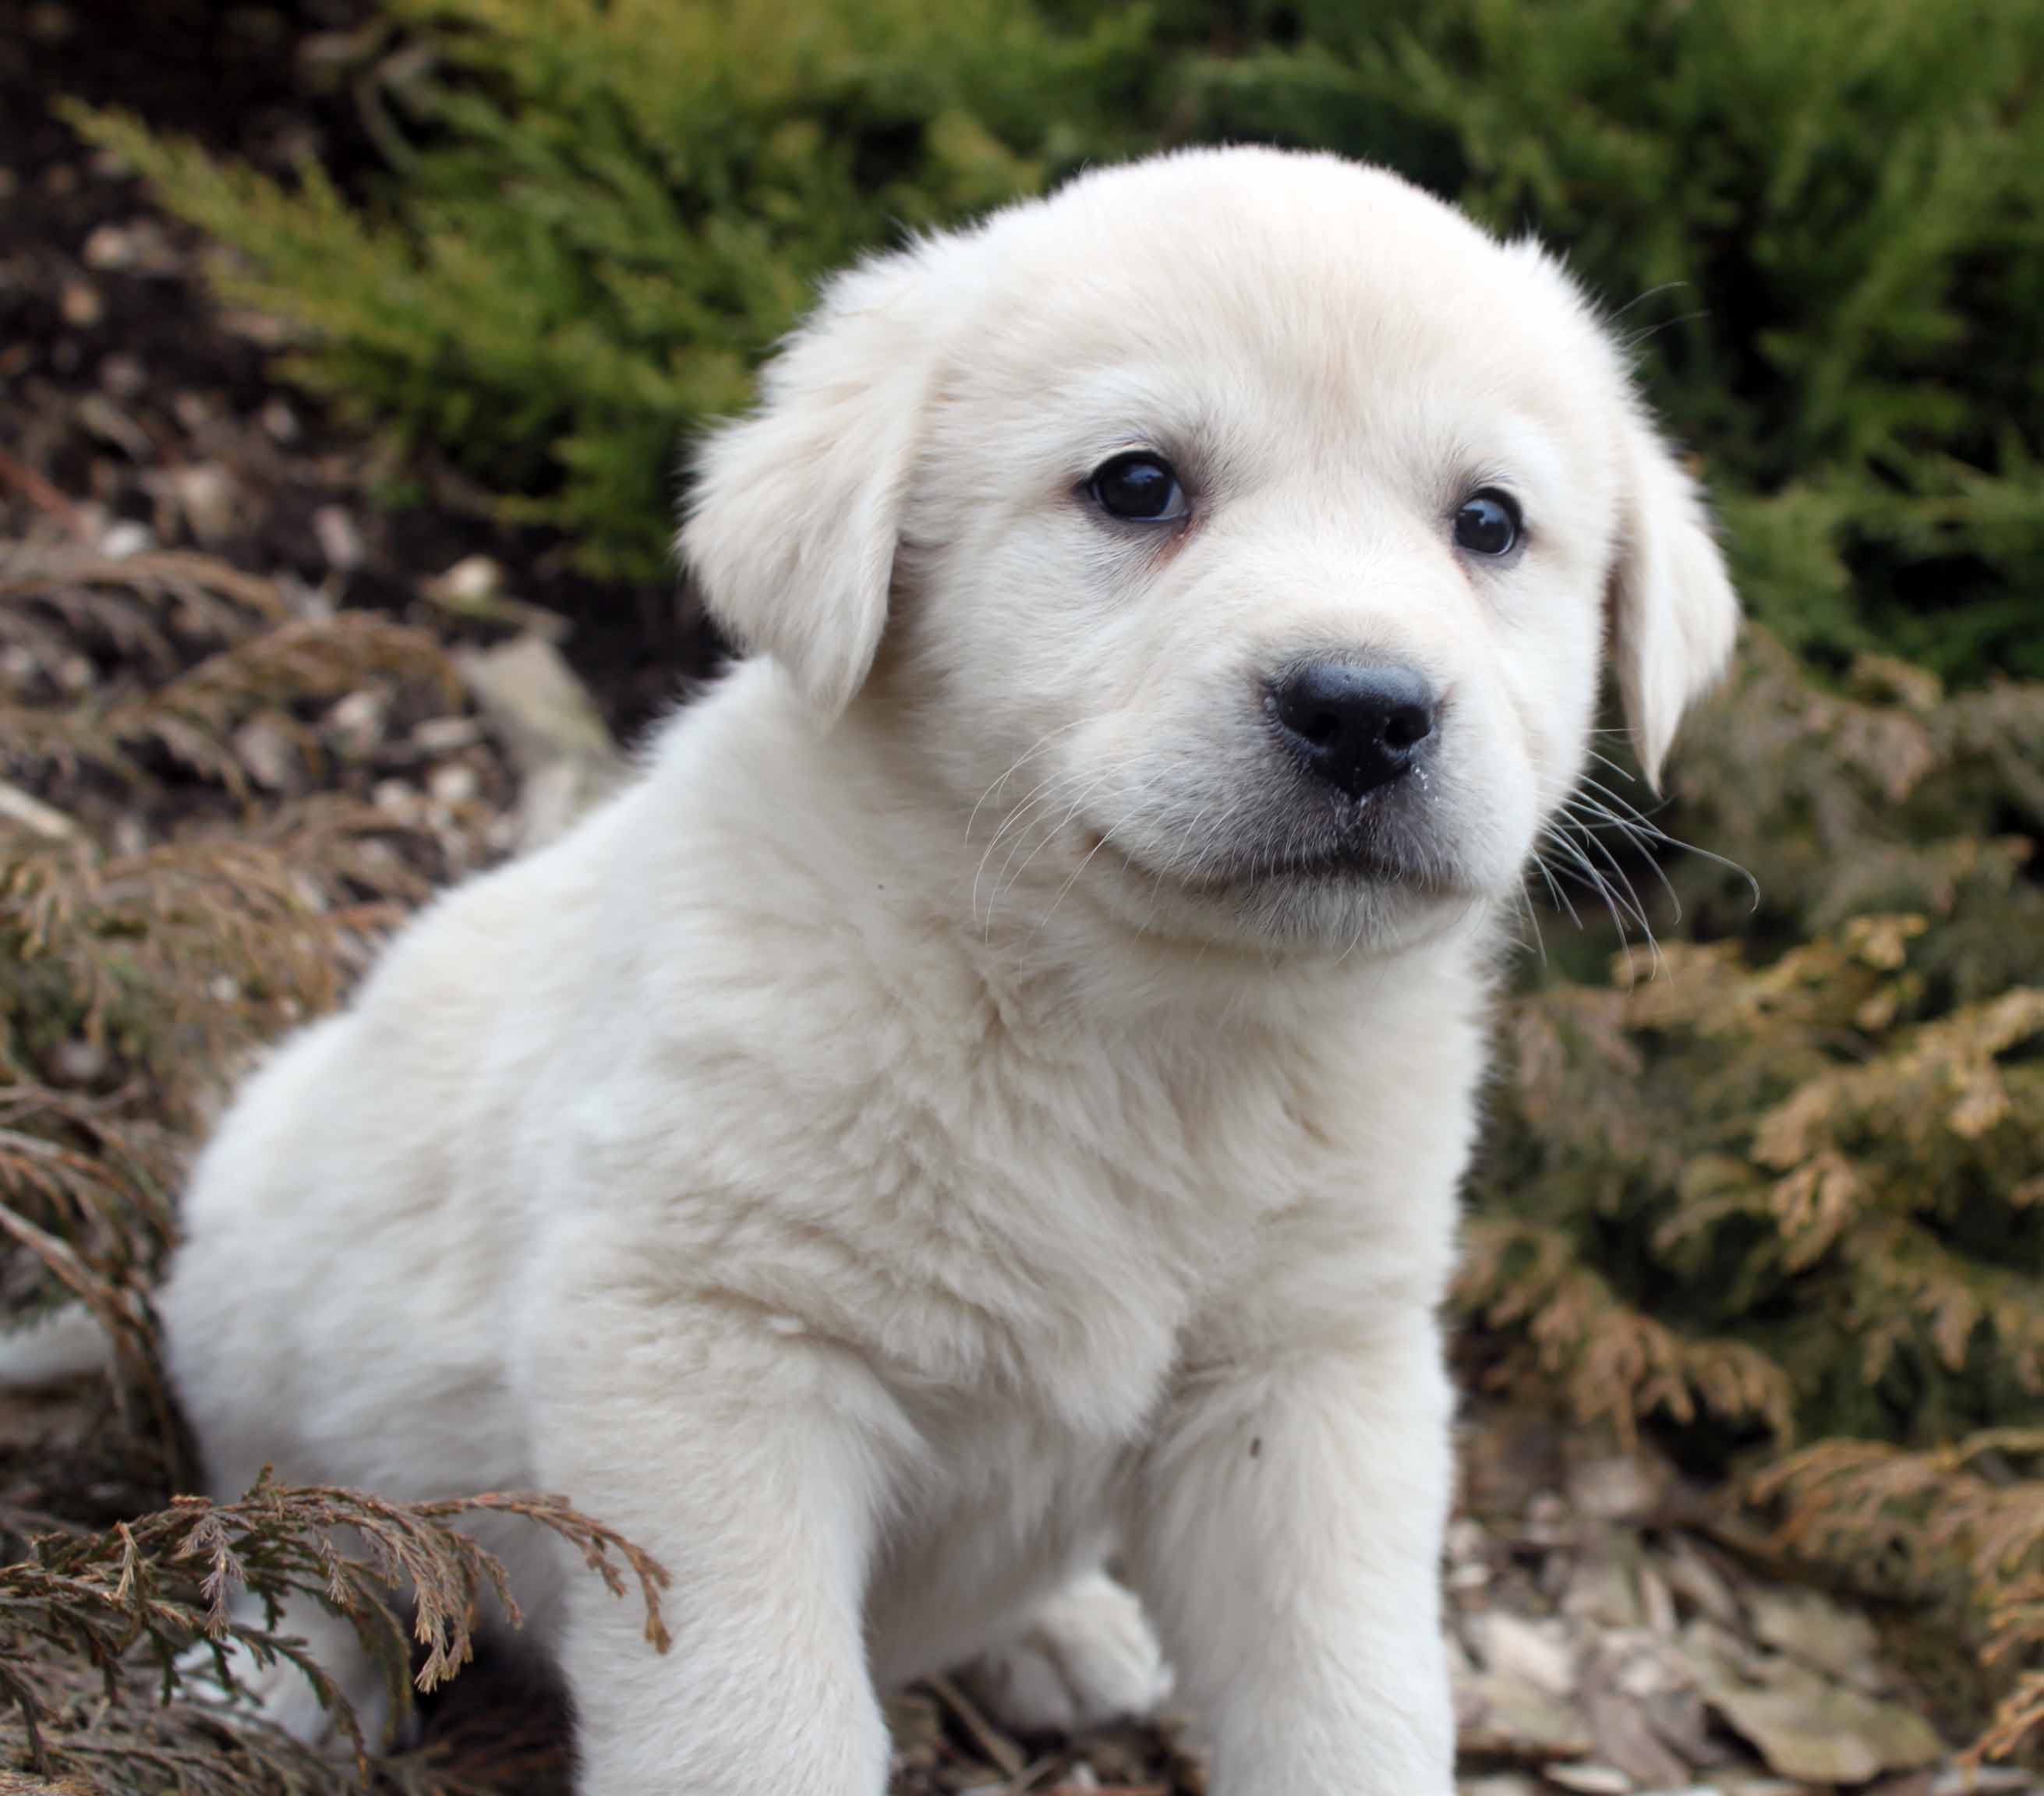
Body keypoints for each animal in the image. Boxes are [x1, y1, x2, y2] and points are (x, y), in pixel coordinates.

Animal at [151, 147, 1733, 1790]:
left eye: (1487, 522)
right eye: (1136, 486)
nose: (1364, 708)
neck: (1139, 1025)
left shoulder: (1306, 1379)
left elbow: (1344, 1692)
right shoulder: (703, 1340)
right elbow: (759, 1720)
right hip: (263, 1305)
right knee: (309, 1524)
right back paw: (269, 1670)